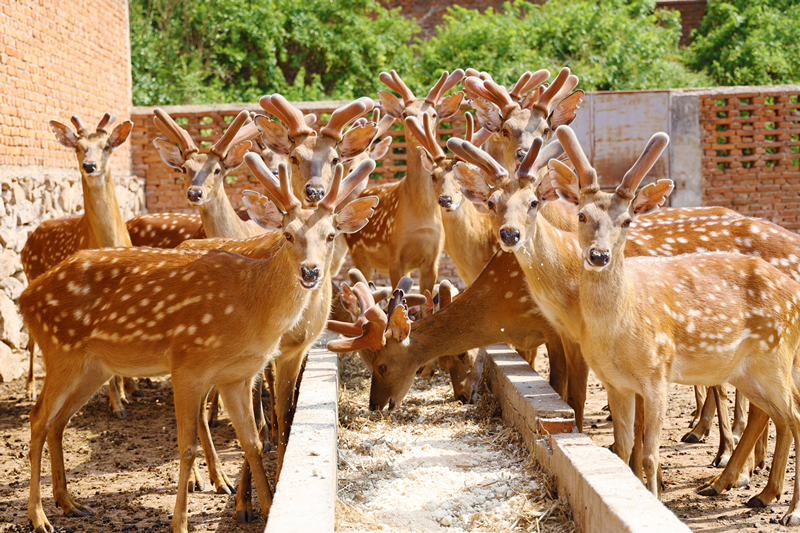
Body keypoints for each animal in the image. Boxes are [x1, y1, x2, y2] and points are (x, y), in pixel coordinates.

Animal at [21, 113, 136, 412]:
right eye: (78, 147)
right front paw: (116, 404)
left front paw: (124, 394)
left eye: (107, 146)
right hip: (30, 277)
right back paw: (29, 388)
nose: (90, 165)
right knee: (30, 339)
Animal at [21, 151, 378, 533]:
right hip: (60, 350)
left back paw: (70, 503)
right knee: (38, 418)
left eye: (331, 235)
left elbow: (252, 441)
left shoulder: (237, 376)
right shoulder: (186, 365)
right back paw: (39, 516)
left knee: (59, 421)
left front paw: (264, 507)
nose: (310, 271)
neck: (252, 309)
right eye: (287, 234)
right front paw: (180, 522)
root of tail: (26, 296)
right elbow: (187, 447)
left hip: (94, 366)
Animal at [552, 125, 800, 524]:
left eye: (627, 220)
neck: (620, 328)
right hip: (748, 371)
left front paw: (654, 502)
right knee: (782, 415)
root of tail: (794, 293)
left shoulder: (658, 373)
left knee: (794, 414)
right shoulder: (615, 382)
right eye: (581, 216)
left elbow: (650, 454)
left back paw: (789, 510)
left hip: (775, 357)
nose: (599, 255)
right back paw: (763, 494)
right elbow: (624, 449)